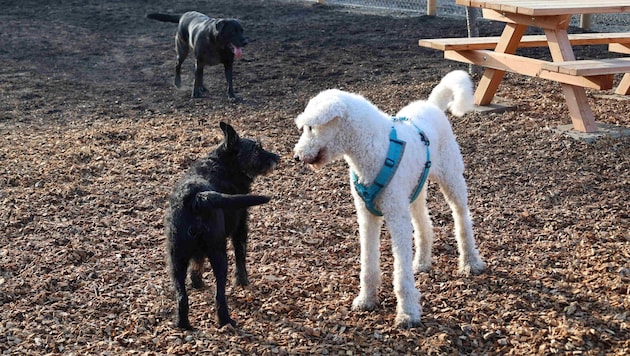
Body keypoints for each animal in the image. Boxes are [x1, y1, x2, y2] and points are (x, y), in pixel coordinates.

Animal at [165, 121, 278, 328]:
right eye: (257, 149)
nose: (277, 158)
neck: (223, 164)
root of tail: (196, 197)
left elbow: (197, 264)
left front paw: (197, 283)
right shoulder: (241, 228)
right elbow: (241, 256)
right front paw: (242, 281)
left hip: (176, 258)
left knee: (182, 297)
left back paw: (182, 324)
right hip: (218, 253)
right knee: (219, 295)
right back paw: (225, 320)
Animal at [294, 70, 486, 328]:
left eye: (311, 128)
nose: (296, 156)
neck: (375, 149)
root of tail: (432, 105)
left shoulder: (396, 218)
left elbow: (401, 274)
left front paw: (407, 313)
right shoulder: (367, 217)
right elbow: (368, 265)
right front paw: (366, 300)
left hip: (452, 180)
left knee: (462, 219)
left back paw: (470, 262)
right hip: (414, 193)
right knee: (425, 225)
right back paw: (422, 262)